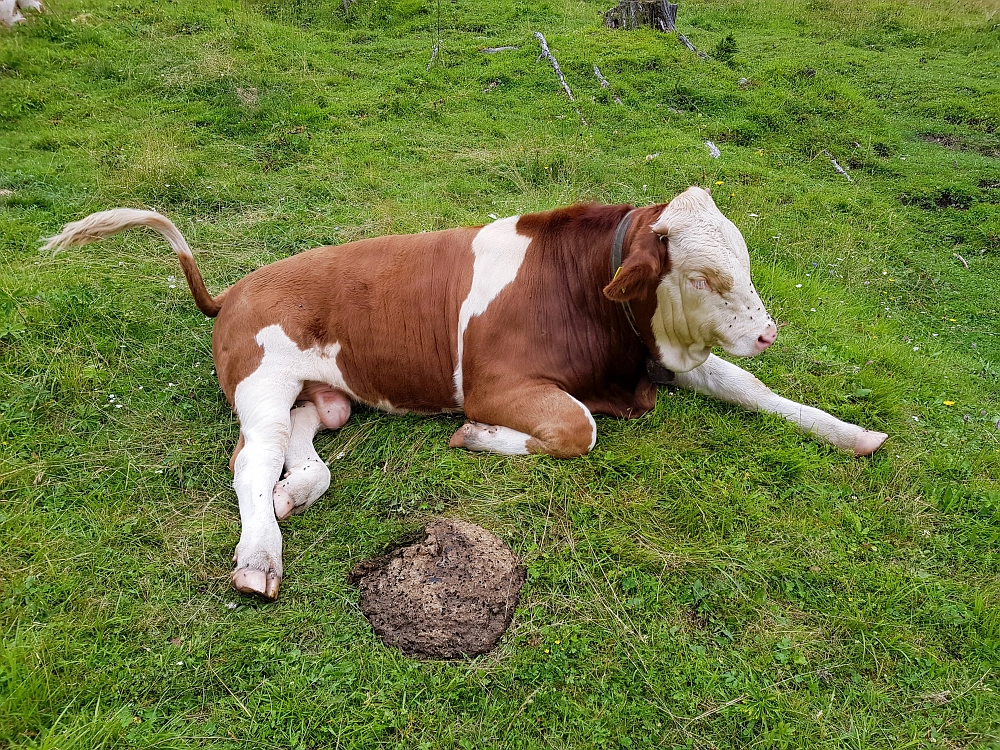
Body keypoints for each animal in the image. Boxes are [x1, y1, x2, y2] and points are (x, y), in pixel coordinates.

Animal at [43, 191, 888, 604]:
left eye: (741, 260)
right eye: (708, 276)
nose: (769, 332)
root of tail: (236, 288)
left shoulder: (662, 357)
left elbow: (753, 388)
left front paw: (850, 433)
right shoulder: (499, 382)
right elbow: (577, 427)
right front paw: (479, 438)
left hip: (322, 396)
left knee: (298, 451)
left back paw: (292, 497)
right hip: (262, 381)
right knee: (250, 461)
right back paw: (259, 555)